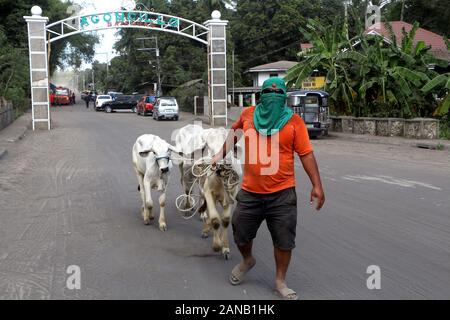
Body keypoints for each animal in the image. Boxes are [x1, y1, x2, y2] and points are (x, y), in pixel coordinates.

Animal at [174, 124, 243, 258]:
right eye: (209, 147)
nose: (222, 162)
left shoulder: (230, 195)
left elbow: (225, 220)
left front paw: (225, 247)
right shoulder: (209, 192)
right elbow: (216, 219)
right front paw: (216, 246)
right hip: (186, 171)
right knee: (187, 190)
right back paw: (188, 207)